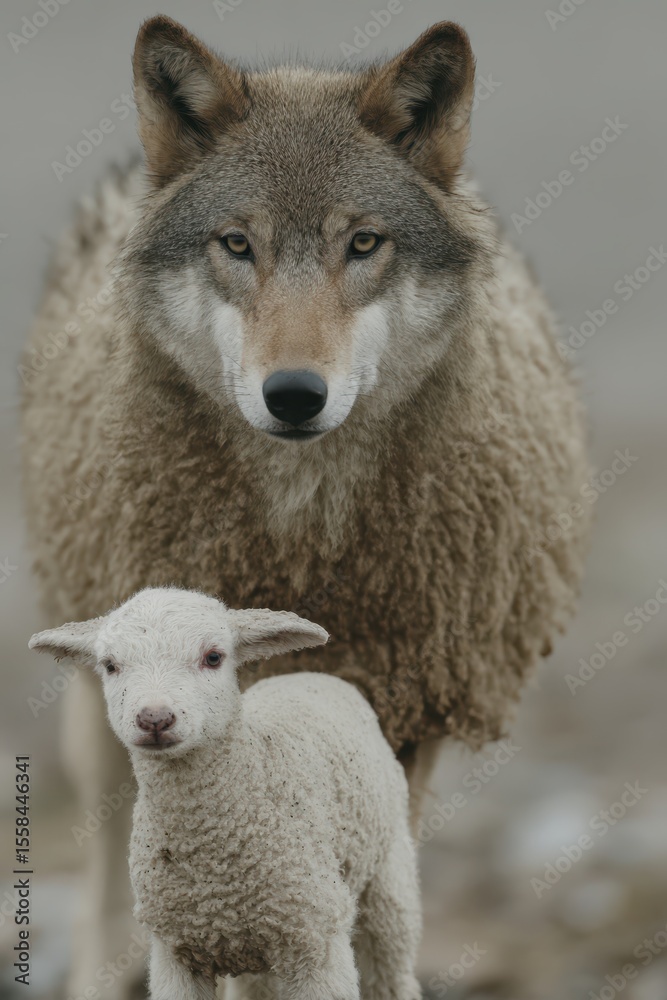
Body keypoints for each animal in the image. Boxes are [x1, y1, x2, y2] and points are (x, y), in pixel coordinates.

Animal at [29, 587, 422, 1000]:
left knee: (392, 972)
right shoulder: (174, 953)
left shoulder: (317, 940)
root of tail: (313, 675)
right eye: (109, 665)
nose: (154, 718)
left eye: (213, 657)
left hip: (389, 876)